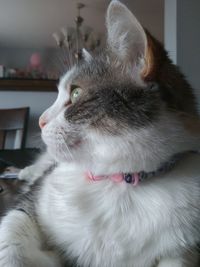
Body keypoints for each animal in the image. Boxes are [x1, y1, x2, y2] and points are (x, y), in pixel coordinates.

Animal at [0, 1, 200, 266]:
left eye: (75, 93)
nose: (41, 120)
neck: (116, 181)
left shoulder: (184, 249)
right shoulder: (31, 202)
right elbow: (11, 235)